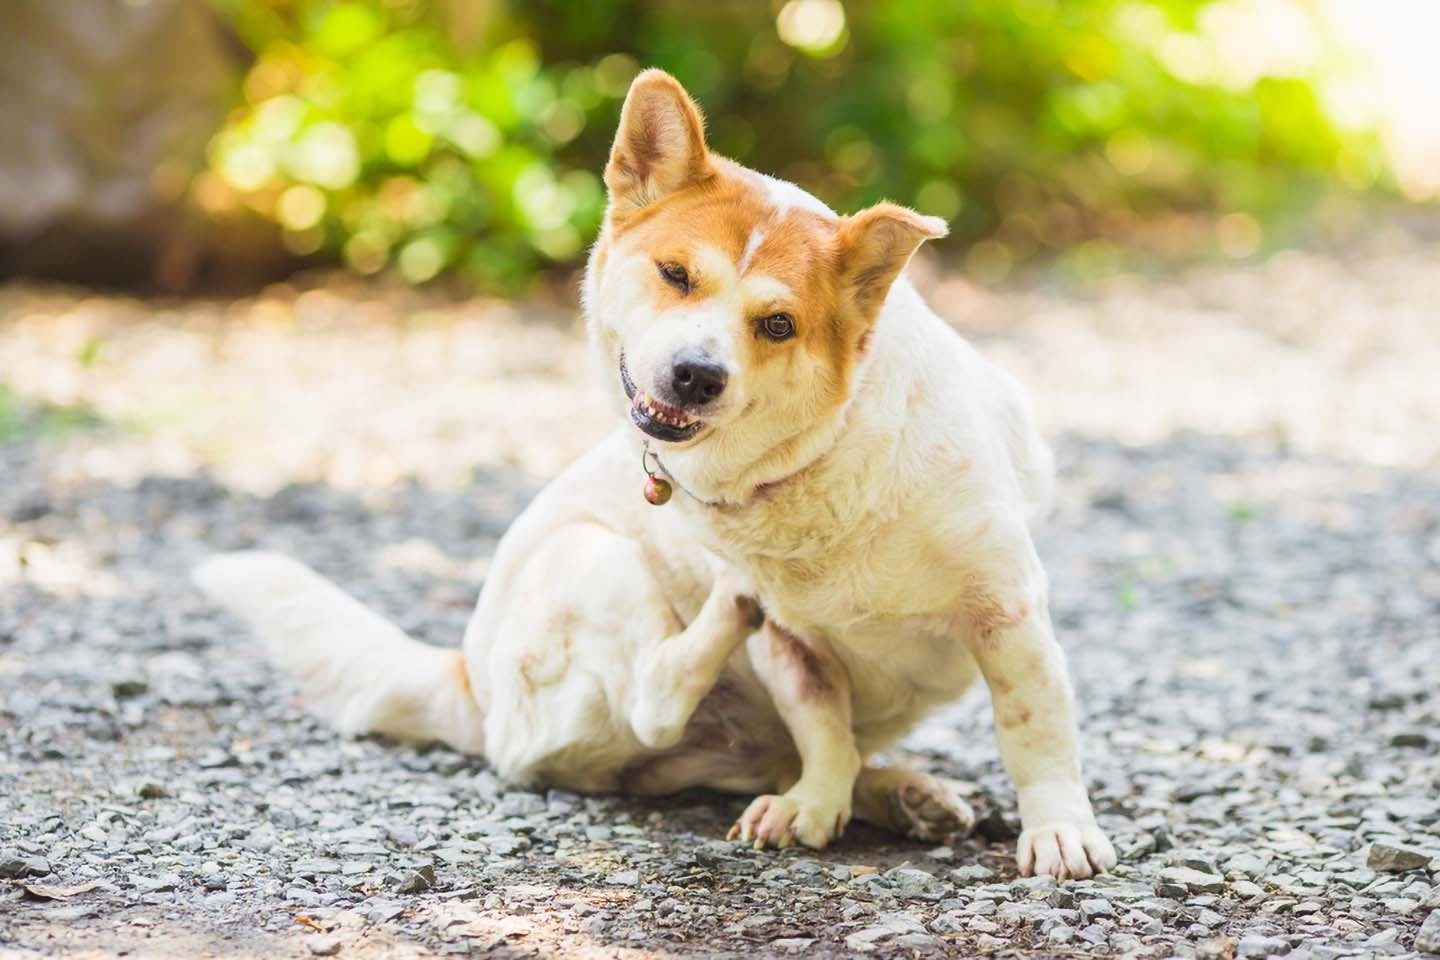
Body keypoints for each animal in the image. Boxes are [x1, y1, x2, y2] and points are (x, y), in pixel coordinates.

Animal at [197, 67, 1111, 880]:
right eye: (676, 275)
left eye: (777, 324)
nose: (696, 375)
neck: (822, 457)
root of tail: (467, 680)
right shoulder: (792, 647)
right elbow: (822, 726)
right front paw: (816, 804)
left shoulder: (1007, 610)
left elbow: (1033, 728)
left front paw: (1057, 830)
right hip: (591, 558)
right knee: (656, 699)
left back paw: (899, 794)